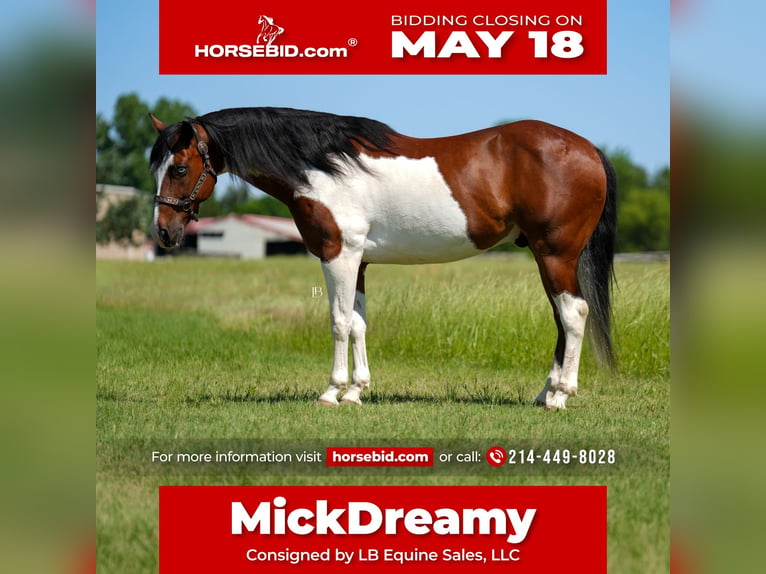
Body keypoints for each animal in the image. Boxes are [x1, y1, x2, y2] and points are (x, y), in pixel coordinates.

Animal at [149, 107, 616, 410]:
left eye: (178, 168)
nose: (165, 233)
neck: (323, 168)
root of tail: (588, 149)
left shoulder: (337, 255)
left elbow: (338, 322)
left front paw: (331, 392)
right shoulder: (359, 261)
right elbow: (358, 323)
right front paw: (357, 391)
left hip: (555, 254)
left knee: (574, 314)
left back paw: (560, 396)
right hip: (548, 257)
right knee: (562, 318)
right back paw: (545, 393)